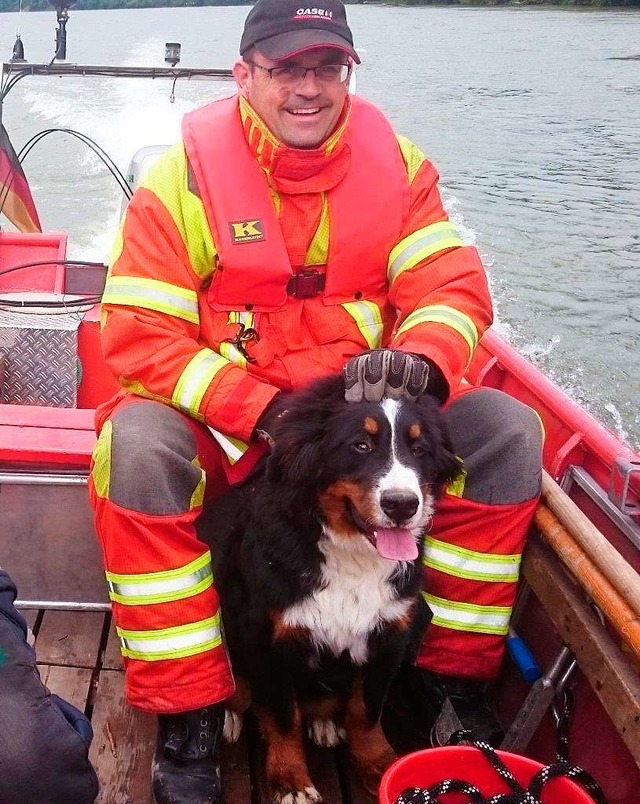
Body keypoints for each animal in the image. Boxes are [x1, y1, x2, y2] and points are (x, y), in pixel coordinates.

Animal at [210, 374, 460, 800]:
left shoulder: (388, 637)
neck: (352, 556)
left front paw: (380, 764)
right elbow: (283, 717)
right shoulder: (268, 638)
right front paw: (290, 780)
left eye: (420, 448)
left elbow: (366, 711)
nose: (401, 504)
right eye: (360, 445)